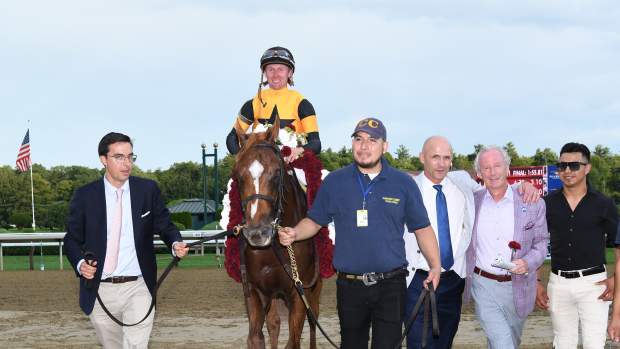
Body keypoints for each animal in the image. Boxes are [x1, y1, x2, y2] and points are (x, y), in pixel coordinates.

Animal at [230, 117, 322, 348]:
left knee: (313, 320)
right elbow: (256, 337)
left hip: (315, 287)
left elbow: (294, 340)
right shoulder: (255, 291)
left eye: (276, 173)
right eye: (238, 175)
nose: (257, 233)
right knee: (274, 324)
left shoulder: (298, 293)